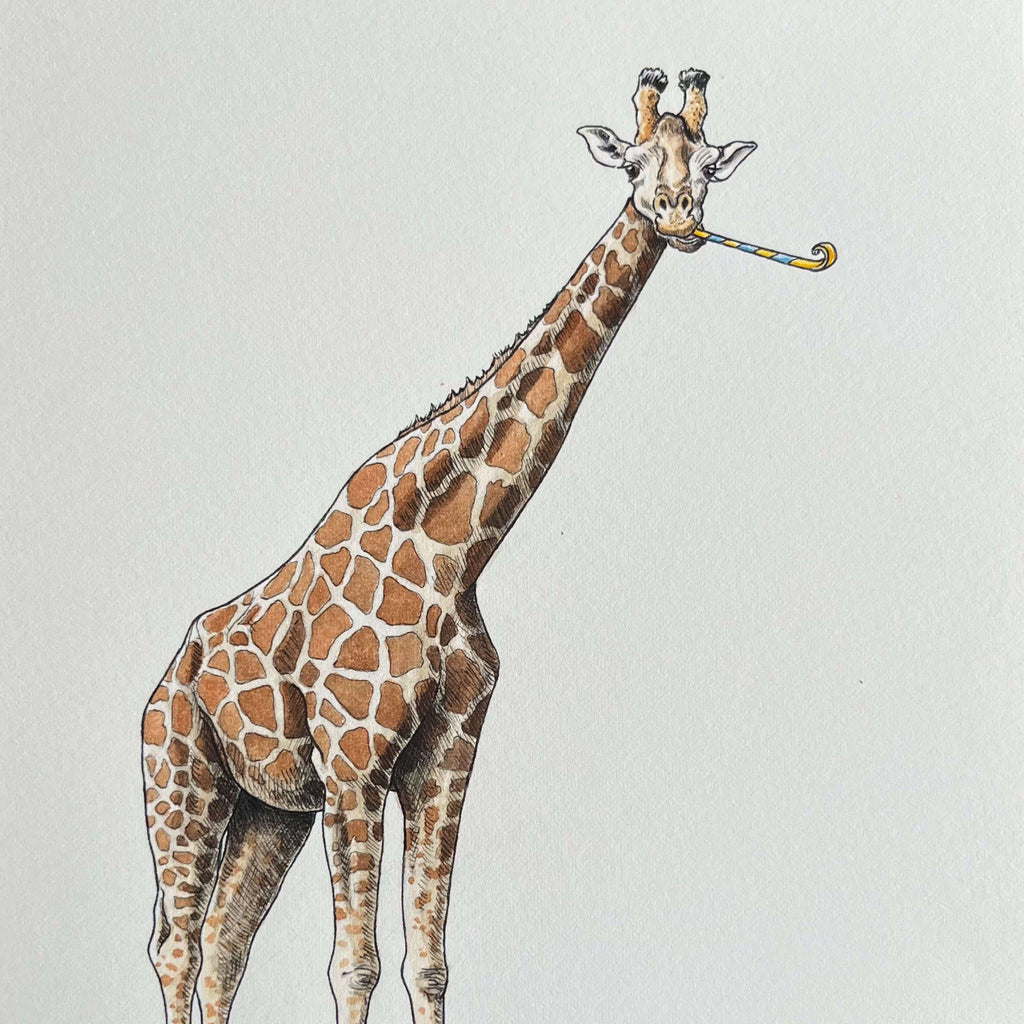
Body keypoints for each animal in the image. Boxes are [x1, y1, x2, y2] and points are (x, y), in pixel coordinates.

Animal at [142, 67, 757, 1024]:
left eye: (707, 165)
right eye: (633, 160)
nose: (678, 214)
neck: (454, 547)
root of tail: (165, 680)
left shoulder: (445, 759)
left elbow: (427, 961)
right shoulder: (355, 764)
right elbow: (352, 964)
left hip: (269, 808)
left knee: (223, 947)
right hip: (182, 780)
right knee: (176, 946)